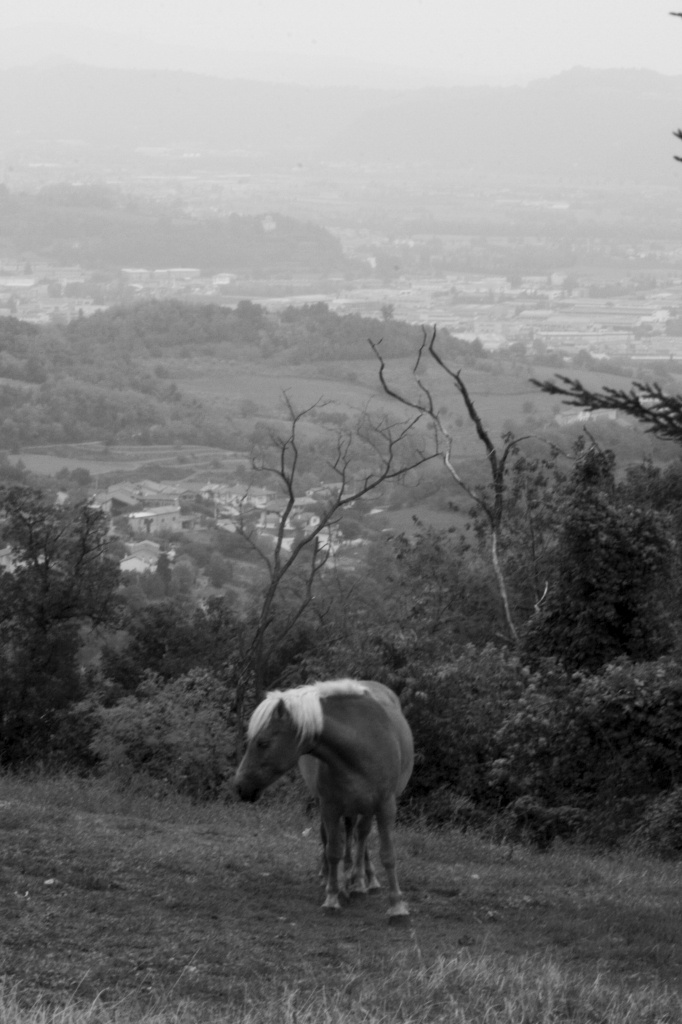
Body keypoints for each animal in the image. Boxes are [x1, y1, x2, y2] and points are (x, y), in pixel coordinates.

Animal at [233, 679, 413, 921]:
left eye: (262, 743)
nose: (240, 786)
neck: (362, 743)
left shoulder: (385, 806)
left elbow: (387, 854)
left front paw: (397, 905)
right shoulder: (330, 806)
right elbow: (333, 850)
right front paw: (332, 895)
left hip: (366, 807)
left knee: (361, 836)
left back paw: (363, 880)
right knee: (340, 837)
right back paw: (336, 876)